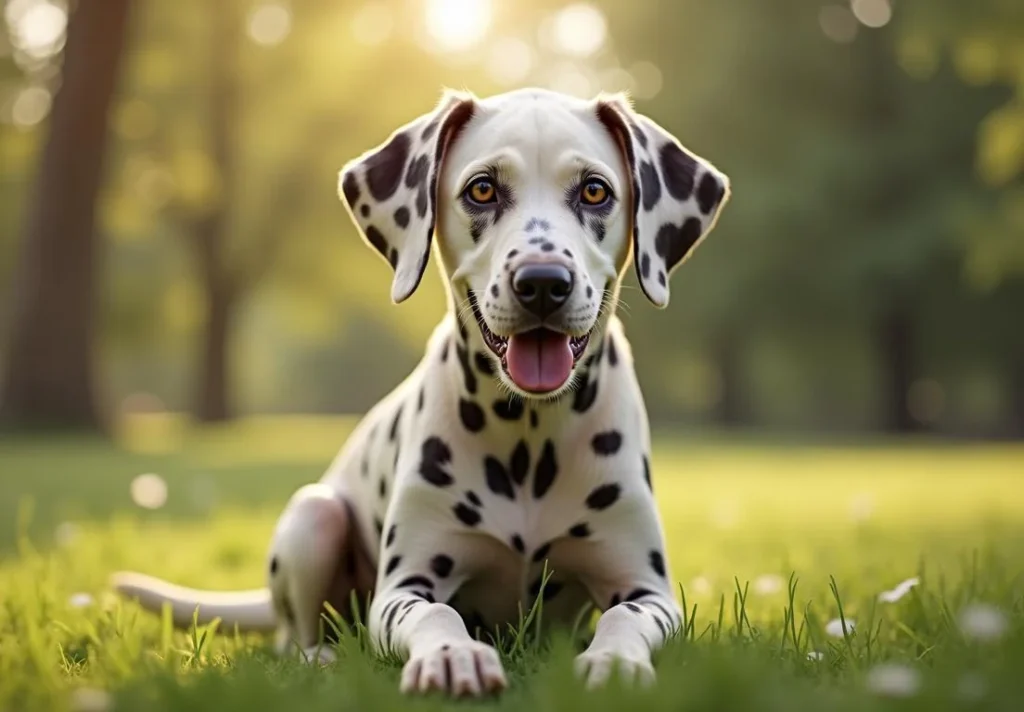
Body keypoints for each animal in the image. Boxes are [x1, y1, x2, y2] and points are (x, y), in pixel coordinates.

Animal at [114, 86, 729, 700]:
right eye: (482, 188)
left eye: (595, 190)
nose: (542, 283)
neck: (529, 442)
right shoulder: (404, 588)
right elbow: (438, 613)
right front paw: (454, 655)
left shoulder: (647, 589)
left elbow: (623, 615)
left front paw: (616, 661)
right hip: (315, 516)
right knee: (296, 634)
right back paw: (319, 659)